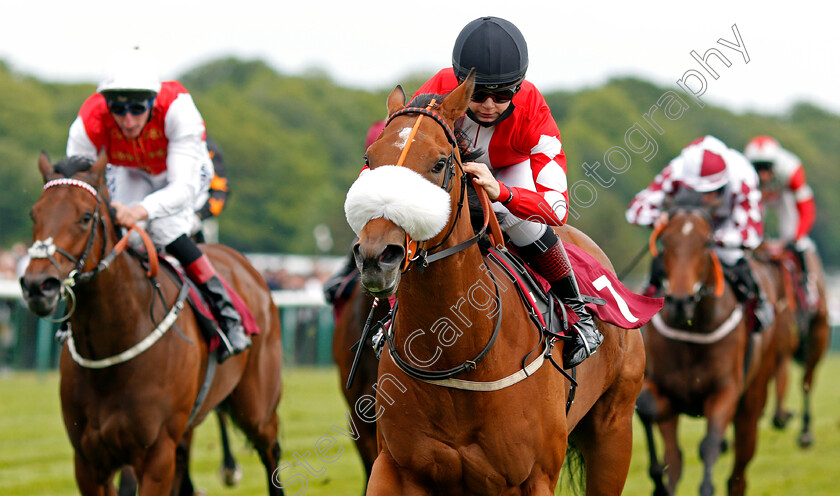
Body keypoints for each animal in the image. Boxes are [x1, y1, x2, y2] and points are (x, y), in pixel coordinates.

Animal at [20, 153, 286, 494]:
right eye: (34, 214)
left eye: (85, 216)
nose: (38, 286)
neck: (112, 346)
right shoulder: (88, 461)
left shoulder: (156, 454)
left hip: (257, 407)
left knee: (270, 450)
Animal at [344, 71, 648, 494]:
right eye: (369, 160)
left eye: (440, 163)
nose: (377, 256)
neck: (455, 353)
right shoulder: (395, 467)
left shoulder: (534, 477)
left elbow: (551, 200)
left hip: (614, 430)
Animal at [636, 208, 780, 496]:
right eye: (666, 240)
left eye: (705, 244)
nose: (680, 302)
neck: (694, 327)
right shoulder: (663, 391)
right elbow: (646, 410)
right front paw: (658, 480)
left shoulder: (725, 391)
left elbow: (710, 445)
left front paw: (706, 485)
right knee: (676, 457)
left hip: (752, 400)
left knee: (739, 470)